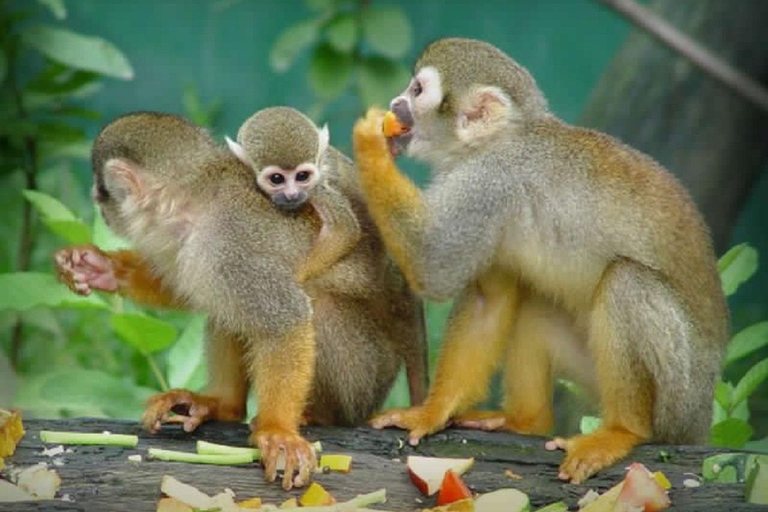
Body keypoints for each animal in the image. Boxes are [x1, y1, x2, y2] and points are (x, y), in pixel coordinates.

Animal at [225, 107, 361, 284]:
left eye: (302, 176)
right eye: (277, 178)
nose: (292, 194)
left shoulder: (316, 187)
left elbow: (343, 228)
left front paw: (299, 276)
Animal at [352, 38, 729, 484]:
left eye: (417, 91)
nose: (396, 104)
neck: (497, 141)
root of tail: (702, 416)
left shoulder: (488, 182)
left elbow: (435, 267)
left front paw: (369, 144)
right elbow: (488, 299)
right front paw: (430, 411)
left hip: (679, 396)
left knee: (627, 282)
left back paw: (622, 430)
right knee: (534, 303)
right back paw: (526, 421)